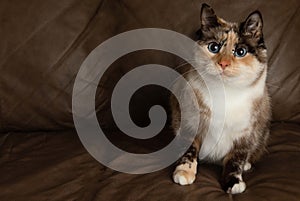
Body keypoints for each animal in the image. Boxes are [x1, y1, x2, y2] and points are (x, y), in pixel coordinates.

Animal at [170, 3, 270, 195]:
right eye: (214, 48)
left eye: (240, 51)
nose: (223, 64)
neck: (225, 94)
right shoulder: (190, 122)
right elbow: (189, 151)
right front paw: (184, 173)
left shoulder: (246, 133)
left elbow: (235, 160)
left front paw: (234, 183)